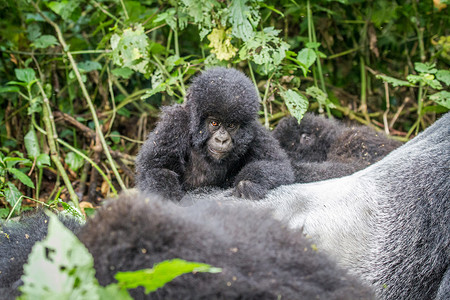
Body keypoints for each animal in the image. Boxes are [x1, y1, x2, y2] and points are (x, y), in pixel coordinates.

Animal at [135, 67, 294, 200]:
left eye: (231, 125)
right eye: (214, 123)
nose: (222, 140)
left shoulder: (254, 130)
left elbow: (277, 164)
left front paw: (247, 183)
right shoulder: (175, 121)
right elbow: (157, 167)